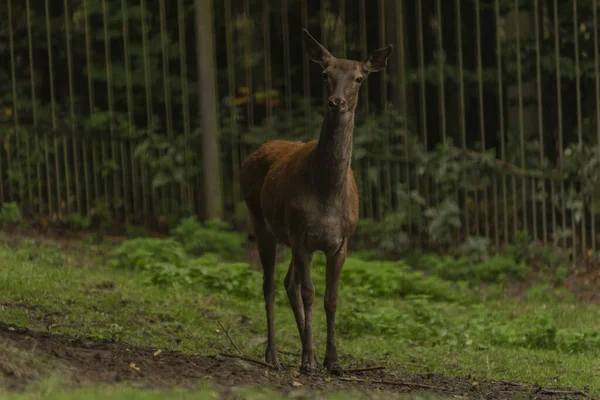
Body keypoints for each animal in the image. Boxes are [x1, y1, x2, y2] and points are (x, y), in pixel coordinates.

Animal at [239, 28, 394, 376]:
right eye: (325, 73)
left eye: (360, 78)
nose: (336, 102)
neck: (327, 197)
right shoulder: (300, 235)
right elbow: (310, 293)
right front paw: (309, 358)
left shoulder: (341, 241)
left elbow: (330, 298)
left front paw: (332, 360)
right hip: (261, 220)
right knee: (270, 284)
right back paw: (274, 354)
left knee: (288, 283)